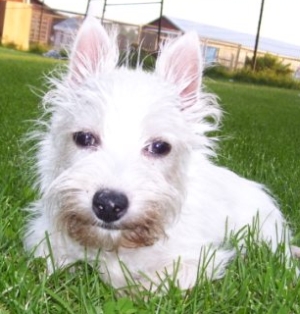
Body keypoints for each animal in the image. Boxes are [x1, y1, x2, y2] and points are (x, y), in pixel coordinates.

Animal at [24, 17, 294, 290]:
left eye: (160, 147)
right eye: (84, 138)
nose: (109, 205)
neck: (117, 245)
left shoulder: (200, 260)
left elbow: (157, 281)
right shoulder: (45, 241)